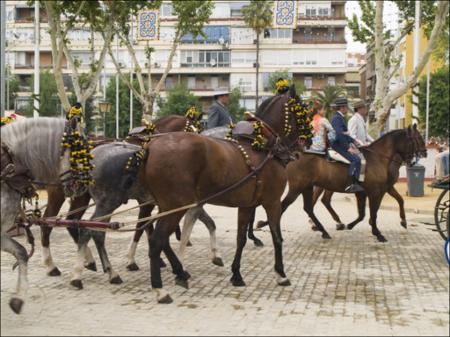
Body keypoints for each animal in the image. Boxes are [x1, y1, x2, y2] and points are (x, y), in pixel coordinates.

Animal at [139, 86, 318, 302]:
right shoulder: (273, 202)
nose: (309, 139)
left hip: (167, 206)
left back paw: (178, 272)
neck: (264, 144)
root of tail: (151, 146)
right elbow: (277, 237)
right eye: (303, 110)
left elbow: (241, 238)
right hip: (176, 206)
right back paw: (161, 288)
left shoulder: (247, 205)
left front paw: (236, 274)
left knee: (159, 237)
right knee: (157, 240)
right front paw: (281, 274)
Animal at [256, 123, 426, 242]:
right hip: (297, 188)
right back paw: (266, 225)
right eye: (418, 138)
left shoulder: (363, 193)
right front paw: (378, 233)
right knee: (286, 205)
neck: (378, 158)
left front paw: (352, 225)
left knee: (309, 207)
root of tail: (294, 155)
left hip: (308, 187)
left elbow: (364, 213)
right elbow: (374, 212)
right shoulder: (375, 192)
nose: (424, 153)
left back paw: (324, 230)